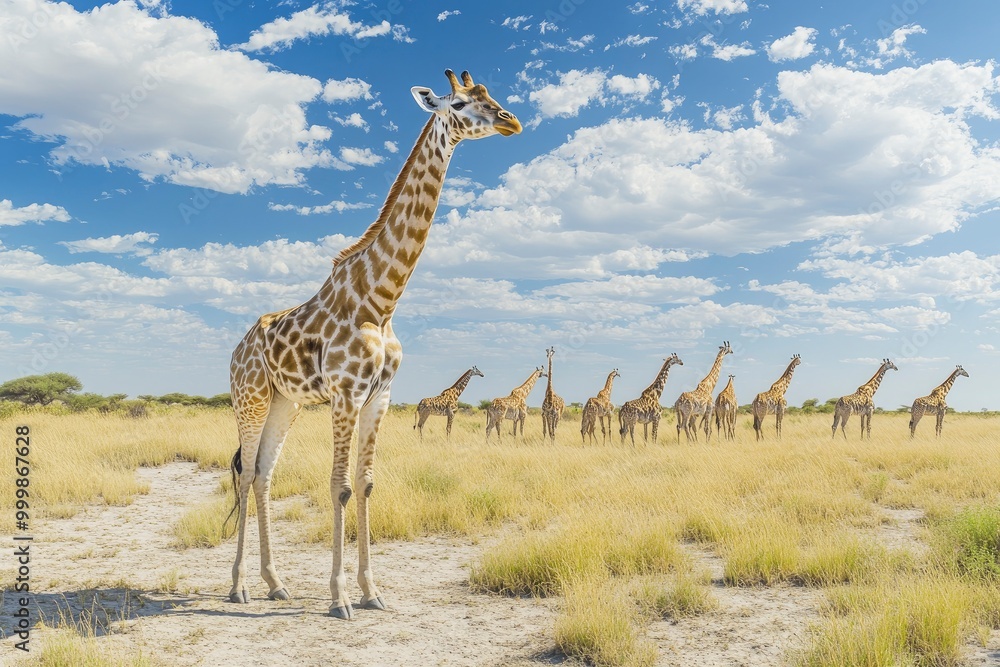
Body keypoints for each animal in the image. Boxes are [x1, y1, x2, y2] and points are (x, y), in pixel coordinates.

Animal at [225, 70, 520, 619]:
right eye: (462, 103)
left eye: (491, 95)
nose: (512, 120)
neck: (381, 300)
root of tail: (237, 349)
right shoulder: (345, 393)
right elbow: (339, 487)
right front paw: (339, 597)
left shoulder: (379, 395)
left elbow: (364, 484)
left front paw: (370, 591)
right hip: (248, 398)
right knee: (247, 471)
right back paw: (238, 586)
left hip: (285, 403)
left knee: (264, 473)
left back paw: (275, 583)